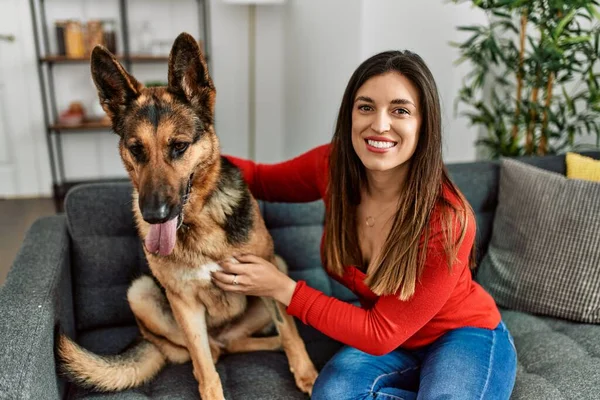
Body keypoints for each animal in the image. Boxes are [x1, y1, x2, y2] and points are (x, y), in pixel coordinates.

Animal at [57, 32, 318, 398]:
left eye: (179, 146)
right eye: (136, 149)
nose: (153, 215)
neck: (199, 219)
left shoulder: (266, 275)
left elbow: (290, 332)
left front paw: (307, 375)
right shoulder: (185, 305)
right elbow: (205, 366)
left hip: (277, 268)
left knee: (237, 342)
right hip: (140, 293)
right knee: (214, 350)